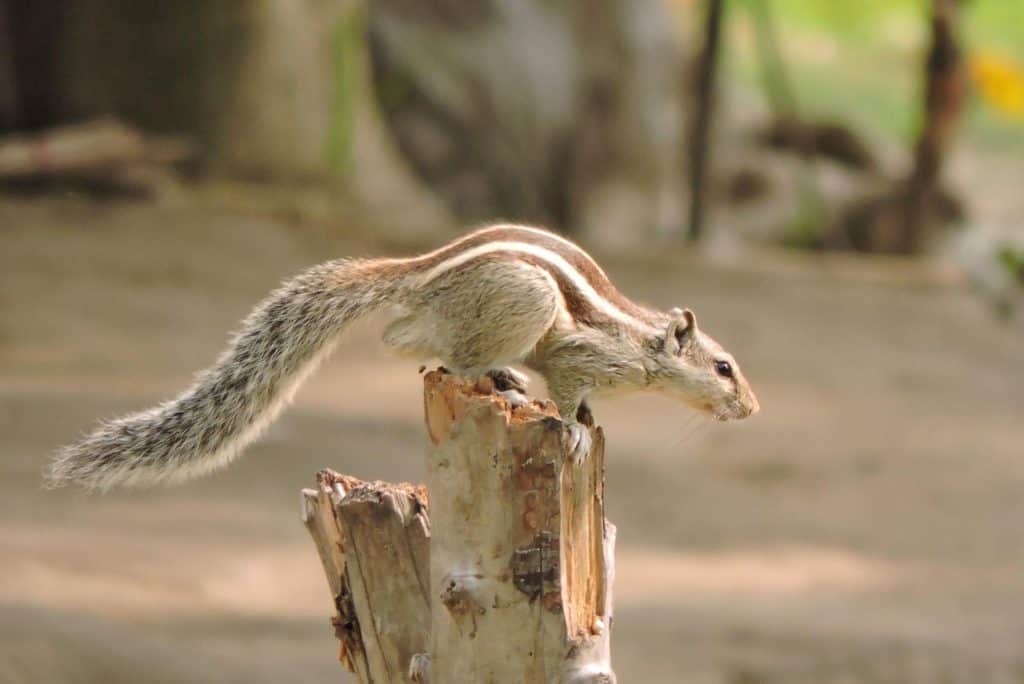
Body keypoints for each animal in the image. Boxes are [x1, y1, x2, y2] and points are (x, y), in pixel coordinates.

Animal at [48, 224, 759, 491]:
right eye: (724, 368)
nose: (752, 409)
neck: (640, 342)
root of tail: (419, 273)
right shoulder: (576, 354)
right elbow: (565, 390)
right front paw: (575, 430)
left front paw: (589, 422)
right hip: (524, 298)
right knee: (426, 348)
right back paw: (498, 379)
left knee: (407, 339)